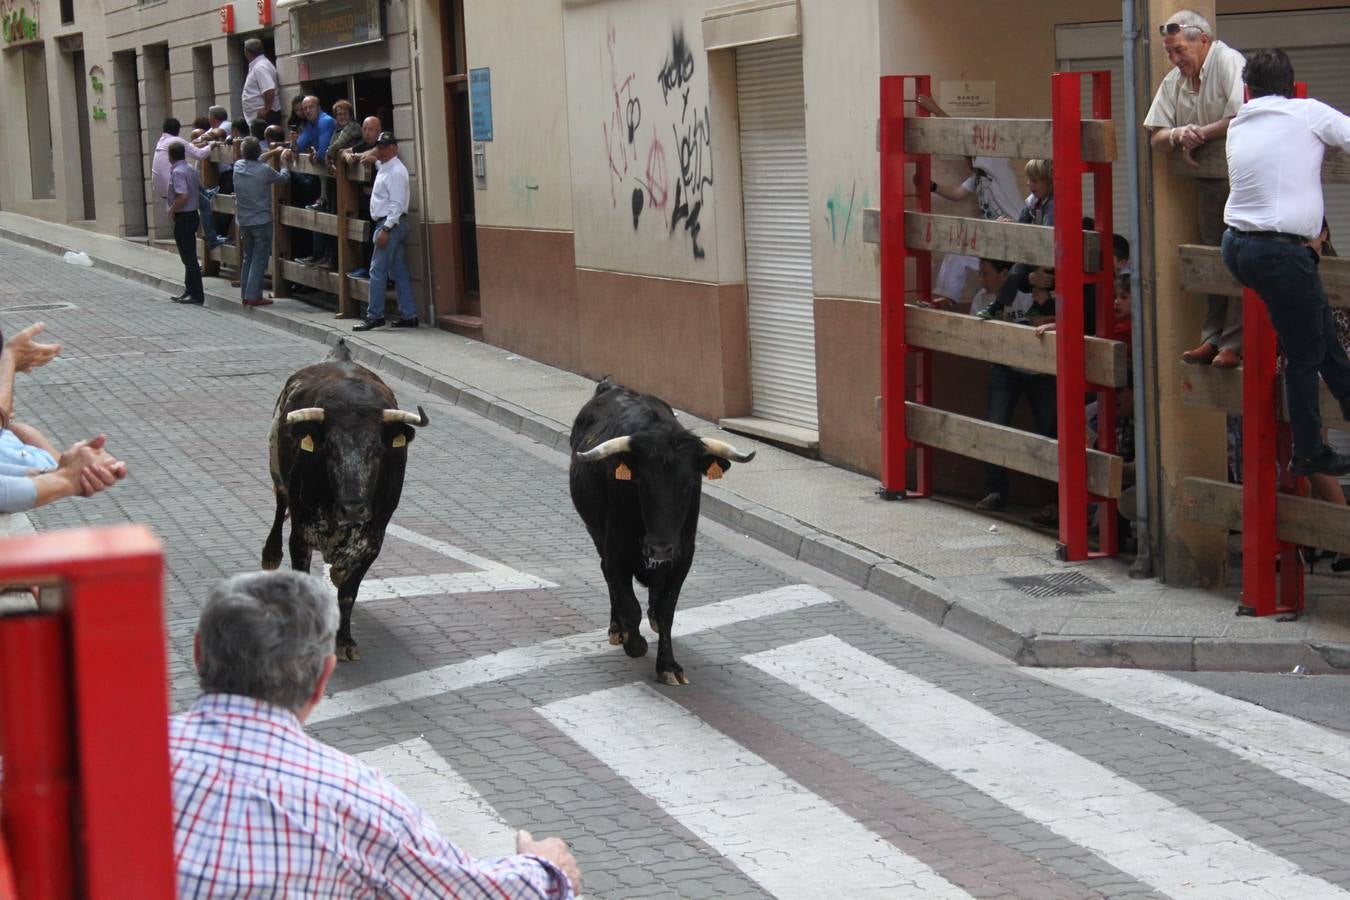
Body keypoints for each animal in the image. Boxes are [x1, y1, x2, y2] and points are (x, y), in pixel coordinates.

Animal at [263, 341, 426, 666]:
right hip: (274, 457)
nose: (353, 508)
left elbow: (349, 592)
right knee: (279, 503)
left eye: (377, 450)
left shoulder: (372, 541)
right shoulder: (301, 535)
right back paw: (270, 555)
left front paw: (345, 641)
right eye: (329, 449)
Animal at [569, 377, 756, 682]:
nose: (659, 547)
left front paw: (668, 665)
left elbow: (666, 609)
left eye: (689, 483)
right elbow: (629, 606)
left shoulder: (683, 556)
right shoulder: (616, 553)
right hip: (596, 532)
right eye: (641, 483)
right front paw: (634, 642)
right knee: (607, 576)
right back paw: (616, 629)